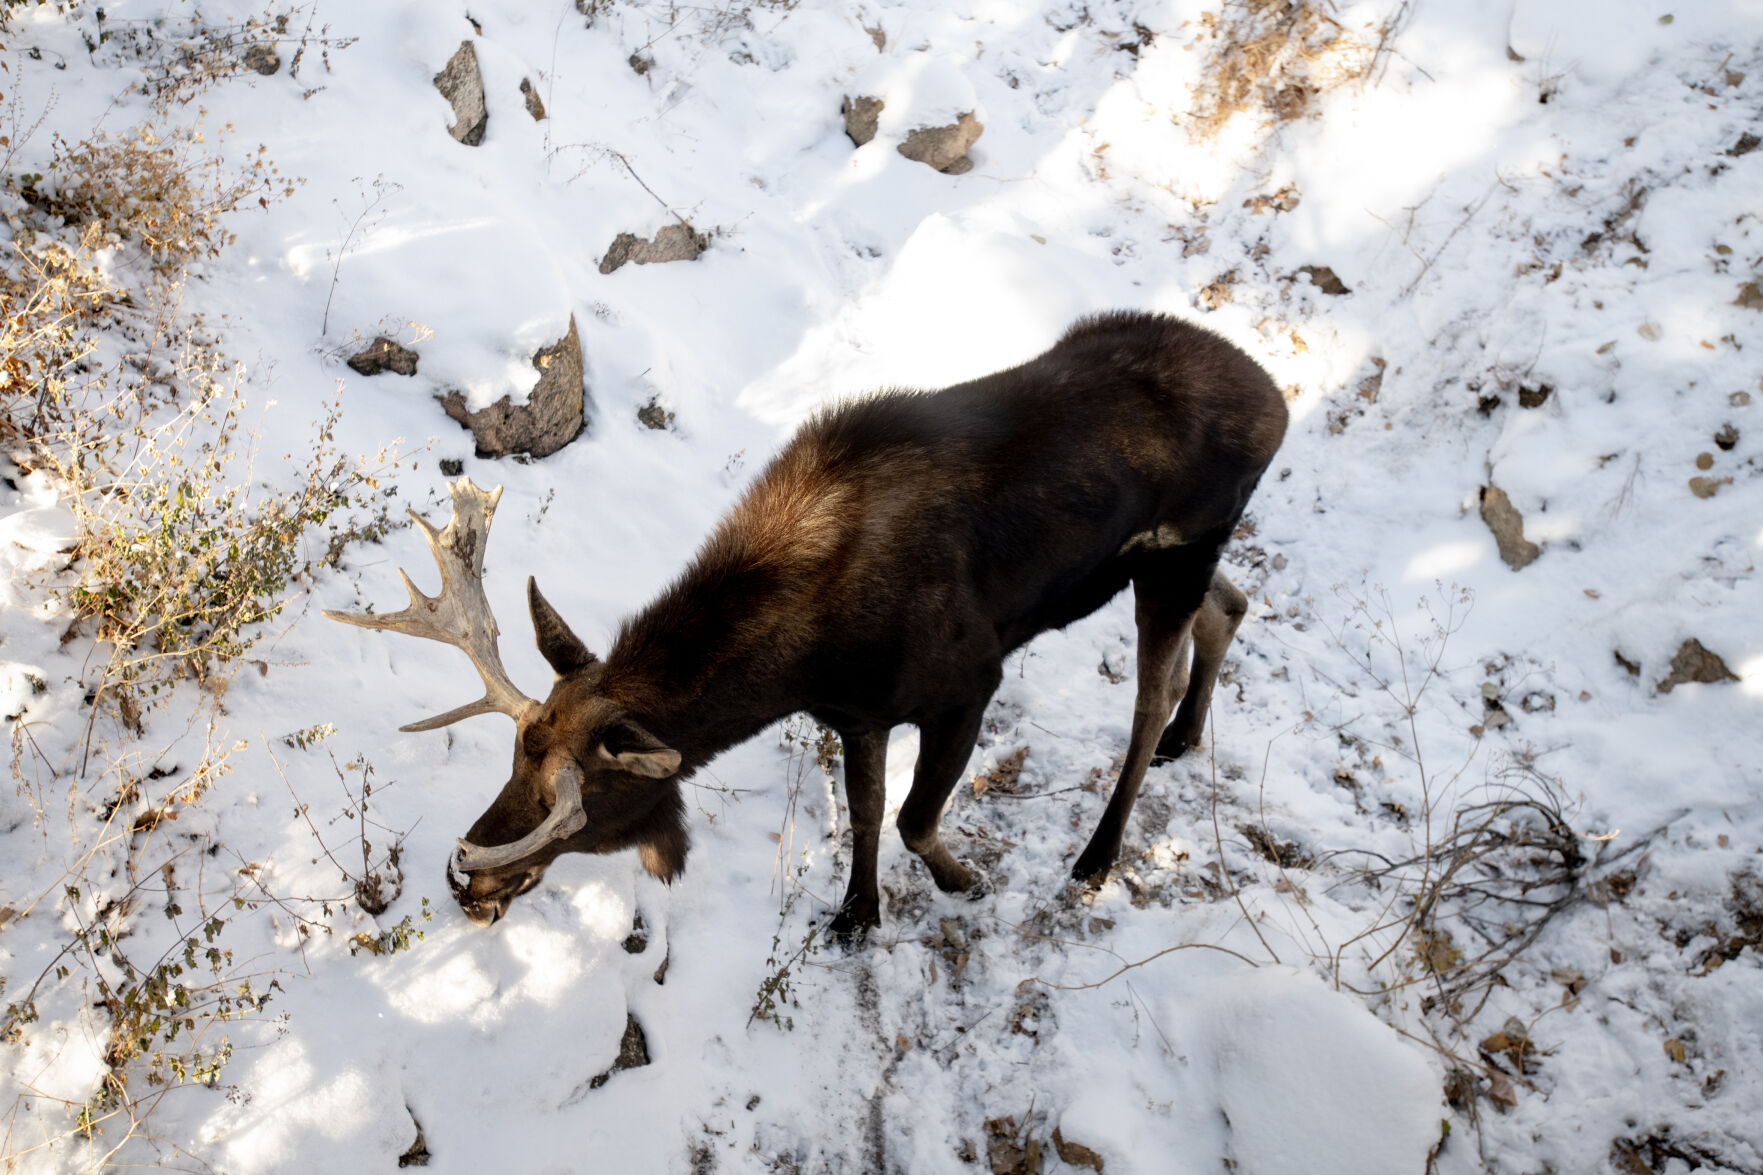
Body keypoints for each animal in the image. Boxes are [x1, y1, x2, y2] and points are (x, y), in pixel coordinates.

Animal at [327, 311, 1288, 936]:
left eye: (579, 807)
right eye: (511, 758)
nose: (466, 879)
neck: (800, 660)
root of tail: (1277, 397)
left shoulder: (966, 682)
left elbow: (912, 819)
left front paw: (960, 882)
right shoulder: (856, 712)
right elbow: (863, 814)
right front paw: (858, 914)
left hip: (1176, 550)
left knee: (1149, 694)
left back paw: (1098, 851)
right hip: (1167, 561)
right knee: (1230, 606)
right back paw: (1188, 736)